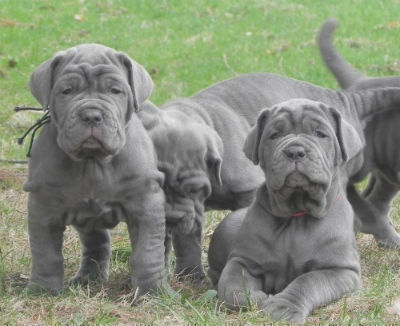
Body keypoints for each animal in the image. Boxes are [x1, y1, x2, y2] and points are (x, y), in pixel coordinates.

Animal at [24, 42, 169, 296]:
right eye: (67, 91)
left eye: (115, 91)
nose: (91, 115)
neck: (92, 161)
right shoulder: (43, 206)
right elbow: (45, 253)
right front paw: (42, 290)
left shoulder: (146, 205)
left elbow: (148, 253)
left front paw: (152, 292)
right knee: (96, 242)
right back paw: (88, 279)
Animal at [141, 72, 400, 278]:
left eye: (192, 186)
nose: (169, 218)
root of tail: (342, 99)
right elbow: (184, 240)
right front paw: (187, 275)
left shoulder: (245, 191)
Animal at [209, 99, 362, 324]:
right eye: (274, 135)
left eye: (320, 133)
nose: (295, 151)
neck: (296, 215)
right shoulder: (243, 261)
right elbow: (233, 286)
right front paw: (254, 299)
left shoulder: (340, 270)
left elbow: (307, 281)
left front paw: (283, 307)